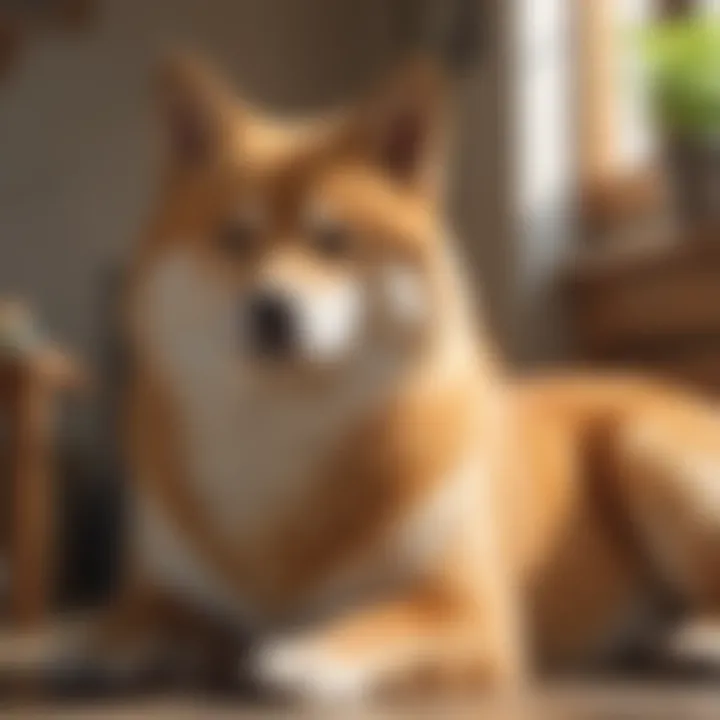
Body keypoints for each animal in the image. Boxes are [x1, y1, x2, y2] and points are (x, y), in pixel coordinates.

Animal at [5, 54, 720, 704]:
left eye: (334, 241)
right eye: (235, 239)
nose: (271, 308)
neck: (282, 433)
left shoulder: (464, 612)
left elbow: (378, 620)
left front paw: (310, 653)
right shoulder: (172, 587)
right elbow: (141, 613)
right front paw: (83, 641)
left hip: (646, 447)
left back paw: (693, 641)